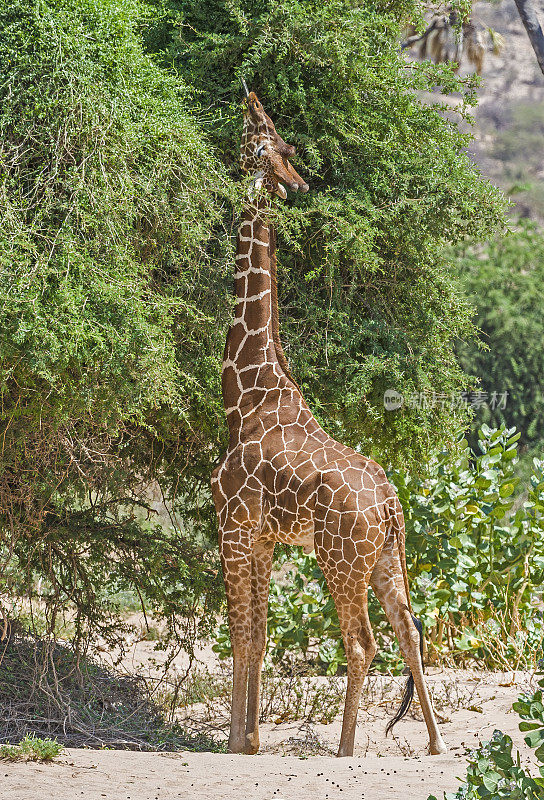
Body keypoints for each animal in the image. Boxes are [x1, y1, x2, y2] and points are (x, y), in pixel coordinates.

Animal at [209, 84, 446, 760]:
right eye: (278, 141)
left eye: (261, 136)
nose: (296, 182)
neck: (248, 393)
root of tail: (390, 502)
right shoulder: (263, 537)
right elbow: (259, 632)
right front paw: (249, 737)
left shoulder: (233, 527)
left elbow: (240, 631)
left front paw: (237, 741)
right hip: (386, 559)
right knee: (411, 631)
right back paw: (435, 744)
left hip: (340, 562)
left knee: (363, 642)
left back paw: (345, 749)